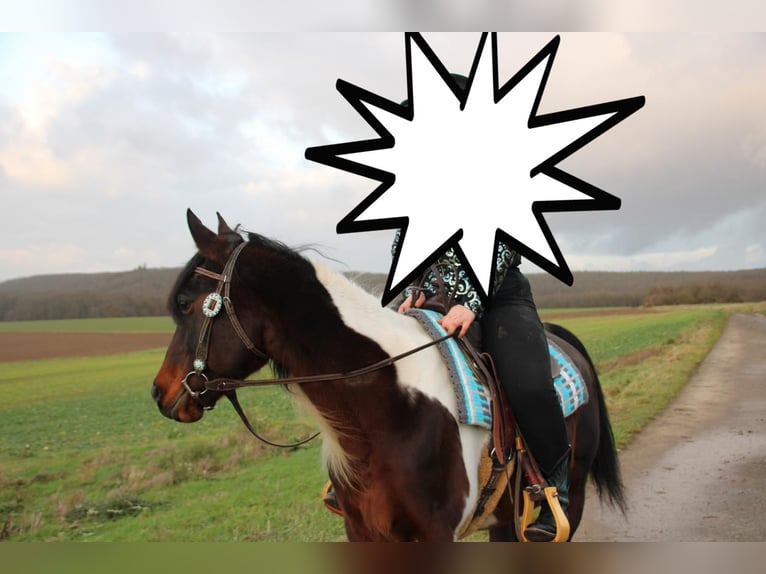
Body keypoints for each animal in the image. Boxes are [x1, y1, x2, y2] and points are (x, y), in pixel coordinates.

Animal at [151, 210, 626, 541]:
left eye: (187, 304)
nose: (161, 392)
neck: (387, 411)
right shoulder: (363, 531)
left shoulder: (436, 534)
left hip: (570, 498)